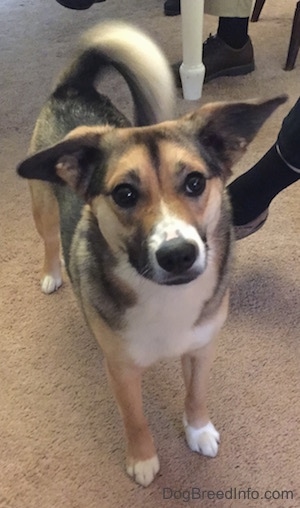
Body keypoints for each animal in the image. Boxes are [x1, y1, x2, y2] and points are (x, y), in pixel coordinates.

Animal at [16, 20, 286, 488]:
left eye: (195, 182)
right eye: (124, 194)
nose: (177, 255)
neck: (165, 296)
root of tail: (74, 87)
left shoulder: (201, 349)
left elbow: (196, 395)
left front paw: (198, 430)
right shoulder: (122, 371)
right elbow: (136, 418)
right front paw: (143, 460)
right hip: (42, 205)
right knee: (50, 240)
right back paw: (52, 273)